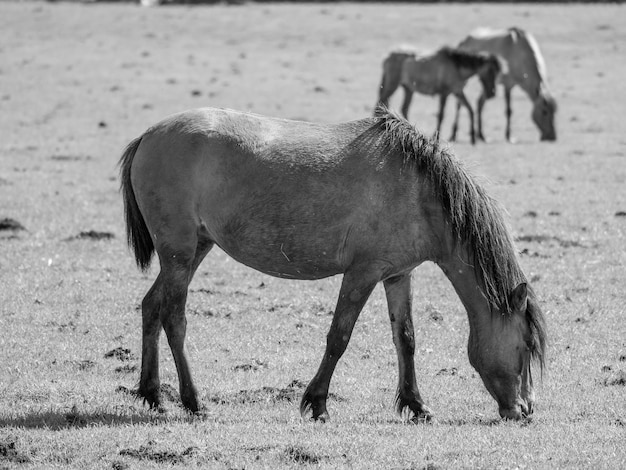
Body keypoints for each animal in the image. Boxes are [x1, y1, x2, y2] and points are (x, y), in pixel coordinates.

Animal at [119, 106, 544, 422]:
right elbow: (339, 337)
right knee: (174, 318)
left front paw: (416, 405)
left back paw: (153, 396)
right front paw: (318, 403)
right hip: (179, 254)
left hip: (194, 250)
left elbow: (405, 339)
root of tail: (149, 136)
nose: (524, 410)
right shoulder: (362, 274)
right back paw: (193, 402)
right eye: (526, 345)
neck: (420, 191)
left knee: (151, 307)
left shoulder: (397, 275)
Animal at [372, 47, 500, 145]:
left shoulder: (458, 92)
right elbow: (441, 115)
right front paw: (436, 136)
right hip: (392, 85)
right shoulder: (444, 93)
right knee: (380, 103)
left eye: (497, 72)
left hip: (408, 89)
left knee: (403, 108)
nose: (492, 93)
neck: (456, 67)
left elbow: (470, 110)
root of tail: (388, 56)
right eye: (490, 71)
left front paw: (473, 137)